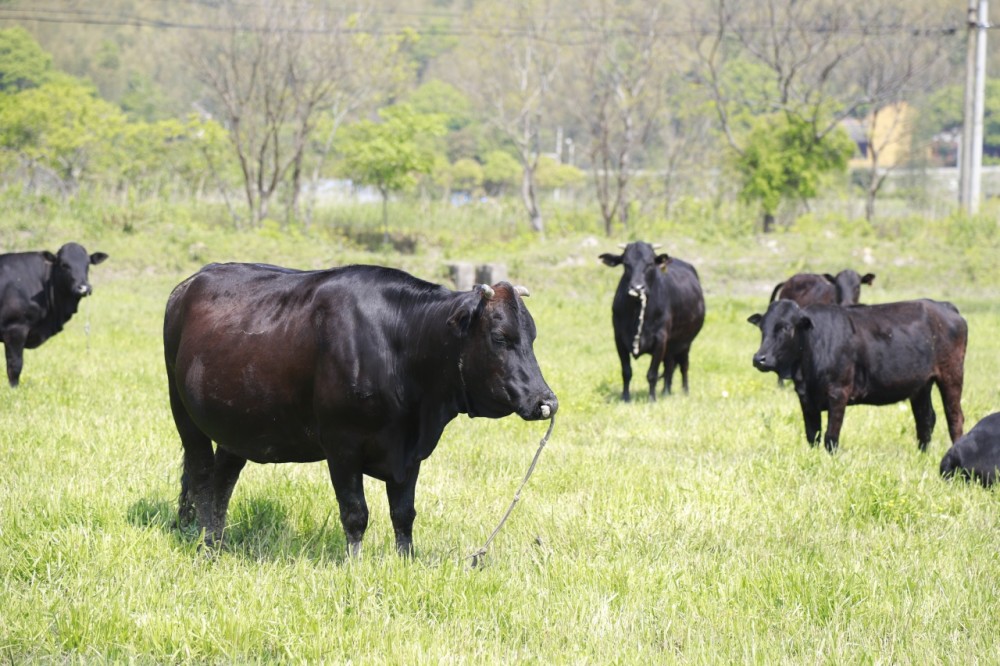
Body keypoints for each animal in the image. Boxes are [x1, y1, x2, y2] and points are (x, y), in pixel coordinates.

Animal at [162, 262, 556, 552]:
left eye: (534, 336)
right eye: (500, 337)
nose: (546, 401)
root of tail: (190, 283)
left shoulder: (410, 453)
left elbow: (403, 514)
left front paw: (406, 561)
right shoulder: (341, 445)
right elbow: (355, 513)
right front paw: (354, 565)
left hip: (237, 426)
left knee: (223, 479)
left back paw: (217, 540)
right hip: (184, 415)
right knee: (201, 475)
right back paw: (206, 544)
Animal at [596, 241, 708, 402]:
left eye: (649, 264)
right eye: (626, 264)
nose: (637, 287)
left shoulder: (660, 339)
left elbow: (652, 374)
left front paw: (652, 399)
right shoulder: (619, 339)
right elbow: (626, 371)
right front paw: (625, 398)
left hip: (686, 343)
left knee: (684, 366)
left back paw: (685, 391)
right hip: (671, 346)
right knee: (669, 366)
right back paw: (666, 391)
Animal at [752, 300, 968, 452]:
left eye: (786, 327)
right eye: (762, 327)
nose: (759, 359)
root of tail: (944, 306)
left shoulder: (838, 392)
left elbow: (831, 437)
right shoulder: (805, 398)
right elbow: (812, 435)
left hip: (952, 375)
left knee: (954, 417)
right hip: (921, 386)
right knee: (925, 421)